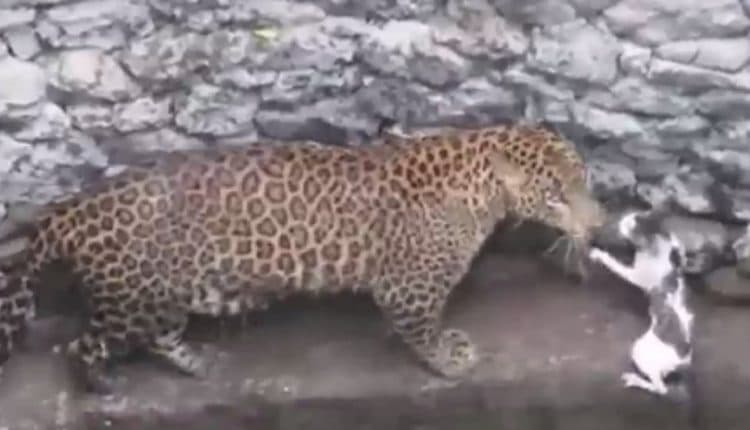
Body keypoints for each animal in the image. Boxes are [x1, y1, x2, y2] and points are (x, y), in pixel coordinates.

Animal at [0, 123, 606, 393]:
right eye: (556, 196)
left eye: (585, 179)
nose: (597, 223)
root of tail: (69, 209)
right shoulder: (408, 289)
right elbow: (420, 328)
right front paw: (447, 359)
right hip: (133, 299)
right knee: (84, 344)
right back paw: (103, 385)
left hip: (166, 295)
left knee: (160, 335)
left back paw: (200, 362)